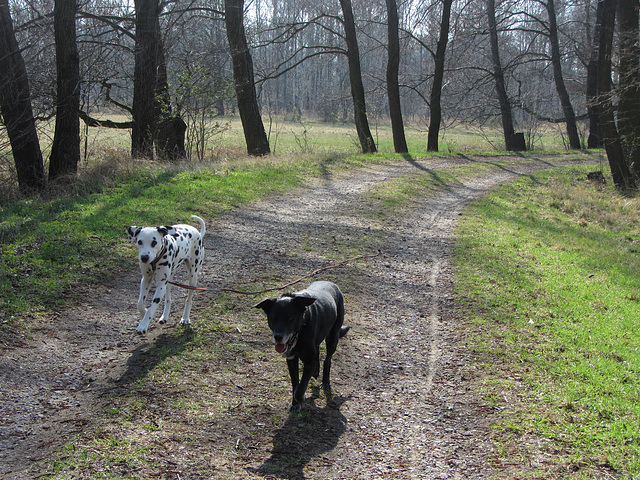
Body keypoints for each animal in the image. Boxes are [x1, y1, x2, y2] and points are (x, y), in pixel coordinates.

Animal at [254, 282, 350, 412]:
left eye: (290, 318)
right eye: (273, 317)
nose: (278, 337)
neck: (299, 332)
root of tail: (332, 284)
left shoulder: (309, 360)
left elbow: (300, 388)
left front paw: (301, 398)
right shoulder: (291, 359)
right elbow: (296, 384)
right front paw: (295, 403)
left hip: (333, 337)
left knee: (328, 359)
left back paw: (325, 381)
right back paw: (316, 371)